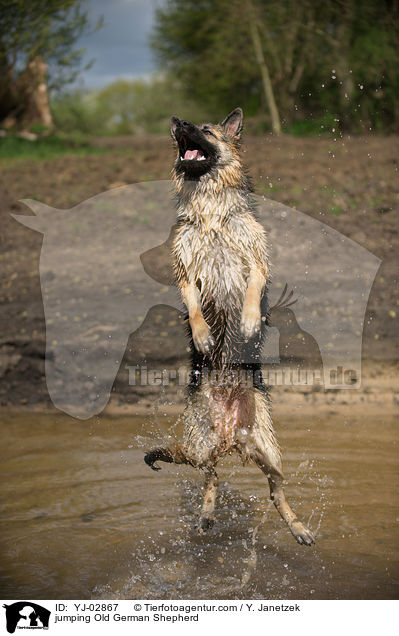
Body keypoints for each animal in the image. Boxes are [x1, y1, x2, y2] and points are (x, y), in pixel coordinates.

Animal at [145, 109, 318, 548]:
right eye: (184, 125)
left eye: (205, 130)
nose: (176, 121)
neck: (211, 213)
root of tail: (228, 435)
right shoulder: (185, 272)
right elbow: (193, 306)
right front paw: (203, 334)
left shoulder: (255, 259)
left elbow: (254, 289)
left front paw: (251, 320)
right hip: (200, 445)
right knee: (210, 477)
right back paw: (206, 514)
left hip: (269, 453)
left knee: (276, 493)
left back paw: (297, 526)